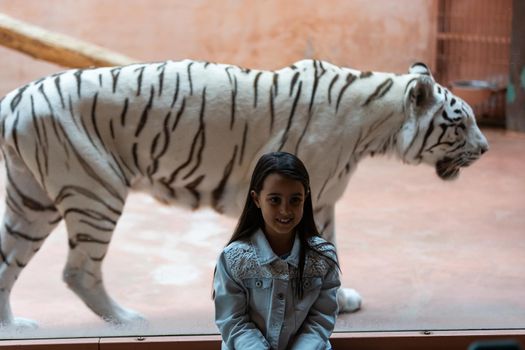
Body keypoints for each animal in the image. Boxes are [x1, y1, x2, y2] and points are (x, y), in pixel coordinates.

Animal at [0, 58, 488, 328]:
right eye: (460, 122)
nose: (484, 149)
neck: (376, 125)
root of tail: (16, 96)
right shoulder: (306, 189)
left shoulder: (321, 197)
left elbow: (324, 246)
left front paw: (338, 296)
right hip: (95, 190)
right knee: (79, 270)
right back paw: (125, 321)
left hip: (31, 203)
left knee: (8, 263)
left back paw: (17, 326)